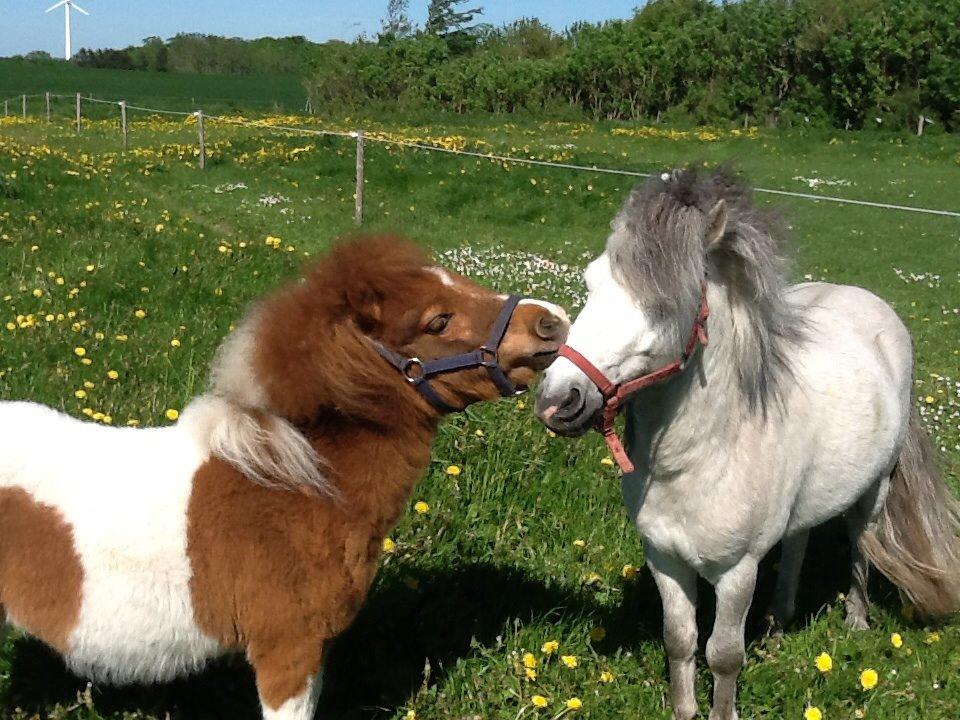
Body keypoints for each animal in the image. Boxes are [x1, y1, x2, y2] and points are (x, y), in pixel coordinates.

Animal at [536, 167, 956, 720]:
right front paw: (686, 709)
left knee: (861, 547)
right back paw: (778, 625)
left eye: (664, 303)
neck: (704, 455)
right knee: (797, 546)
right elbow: (680, 641)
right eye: (592, 283)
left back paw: (855, 621)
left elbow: (723, 656)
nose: (558, 399)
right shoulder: (664, 560)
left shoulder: (736, 573)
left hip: (875, 492)